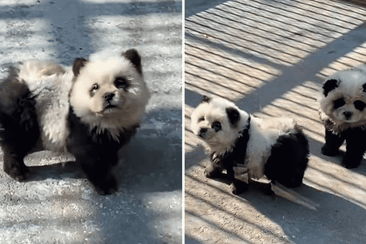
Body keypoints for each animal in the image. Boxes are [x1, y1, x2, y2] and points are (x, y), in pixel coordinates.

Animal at [0, 49, 150, 194]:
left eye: (120, 82)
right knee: (17, 142)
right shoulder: (81, 125)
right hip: (25, 113)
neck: (109, 117)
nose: (108, 96)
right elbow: (92, 157)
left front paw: (113, 160)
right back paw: (17, 172)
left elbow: (111, 147)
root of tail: (18, 78)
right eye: (95, 87)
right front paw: (106, 186)